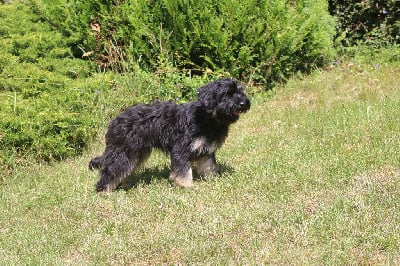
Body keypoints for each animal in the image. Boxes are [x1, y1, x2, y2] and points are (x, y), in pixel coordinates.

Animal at [90, 78, 250, 192]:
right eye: (227, 94)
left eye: (241, 92)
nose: (243, 103)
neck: (207, 118)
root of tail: (115, 121)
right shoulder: (181, 148)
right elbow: (183, 170)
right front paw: (186, 185)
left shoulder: (206, 149)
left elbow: (209, 166)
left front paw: (213, 179)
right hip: (124, 150)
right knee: (111, 170)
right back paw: (103, 190)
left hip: (136, 152)